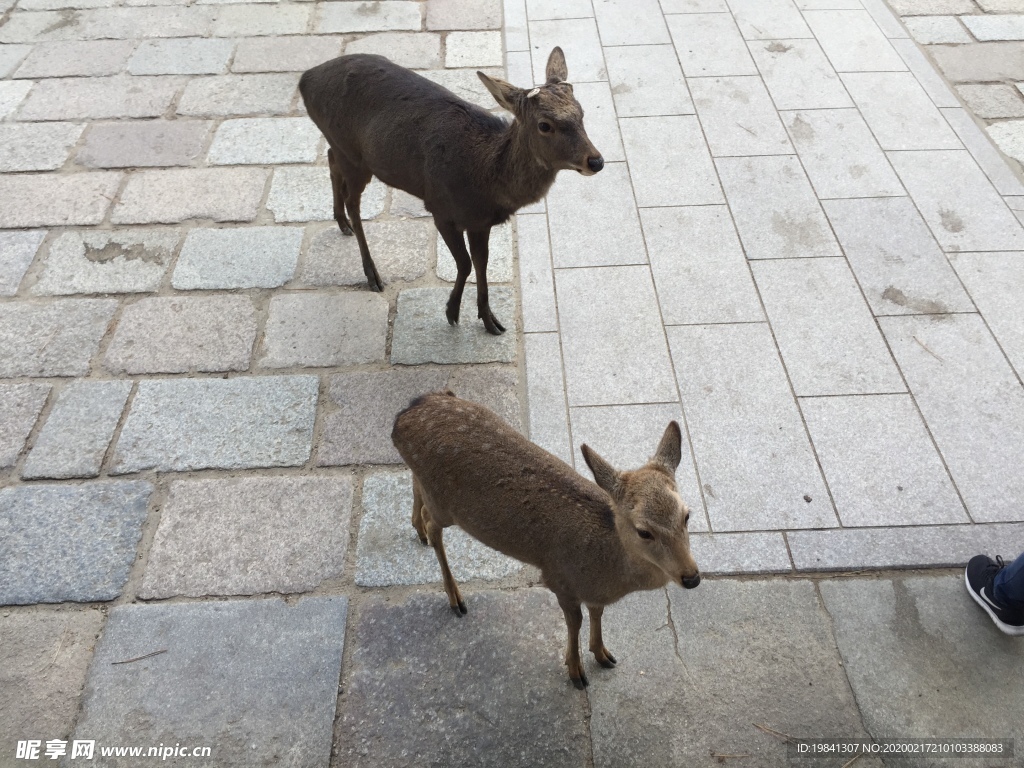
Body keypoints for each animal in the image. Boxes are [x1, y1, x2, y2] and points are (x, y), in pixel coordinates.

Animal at [296, 48, 602, 335]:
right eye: (544, 125)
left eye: (582, 113)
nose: (596, 161)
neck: (487, 181)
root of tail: (305, 79)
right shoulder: (440, 208)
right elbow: (465, 263)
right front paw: (452, 311)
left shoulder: (480, 223)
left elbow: (481, 262)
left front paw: (490, 320)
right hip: (354, 153)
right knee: (353, 201)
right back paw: (372, 273)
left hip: (341, 147)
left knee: (330, 160)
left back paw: (341, 223)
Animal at [391, 393, 704, 688]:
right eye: (644, 531)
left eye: (687, 515)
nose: (691, 577)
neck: (606, 571)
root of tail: (403, 416)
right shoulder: (559, 579)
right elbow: (575, 622)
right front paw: (575, 671)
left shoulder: (591, 591)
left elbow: (597, 612)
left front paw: (602, 654)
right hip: (445, 508)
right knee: (433, 525)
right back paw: (455, 596)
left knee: (416, 489)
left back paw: (417, 529)